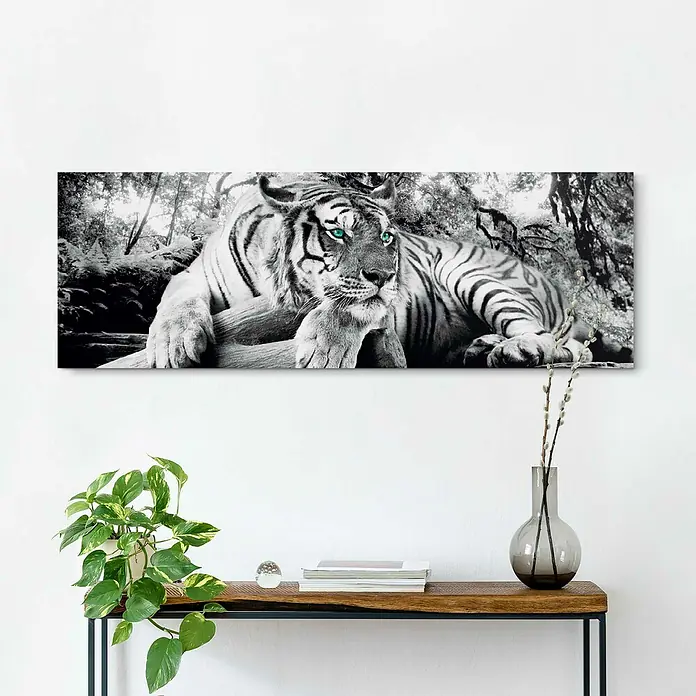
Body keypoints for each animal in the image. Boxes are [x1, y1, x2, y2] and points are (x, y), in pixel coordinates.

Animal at [147, 176, 631, 368]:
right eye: (337, 232)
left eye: (385, 237)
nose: (384, 276)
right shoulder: (194, 275)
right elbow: (175, 294)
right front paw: (172, 344)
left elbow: (349, 307)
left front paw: (324, 349)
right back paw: (480, 348)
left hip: (476, 277)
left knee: (558, 344)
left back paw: (515, 350)